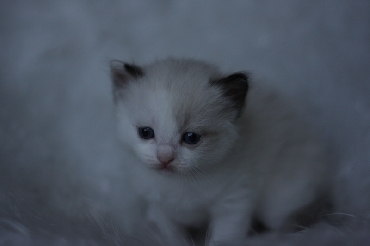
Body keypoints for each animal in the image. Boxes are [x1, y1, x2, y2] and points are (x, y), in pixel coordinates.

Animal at [109, 58, 330, 245]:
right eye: (146, 133)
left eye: (191, 138)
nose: (165, 158)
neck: (179, 184)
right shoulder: (159, 208)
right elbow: (172, 237)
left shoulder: (233, 201)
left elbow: (223, 237)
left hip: (279, 202)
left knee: (288, 222)